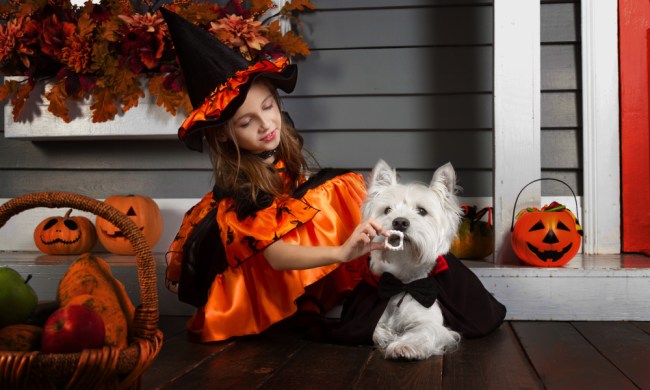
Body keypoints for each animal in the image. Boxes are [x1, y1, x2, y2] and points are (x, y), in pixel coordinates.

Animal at [362, 160, 464, 362]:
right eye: (387, 210)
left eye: (422, 211)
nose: (400, 222)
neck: (402, 281)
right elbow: (374, 328)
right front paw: (386, 335)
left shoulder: (432, 321)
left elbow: (424, 331)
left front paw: (404, 346)